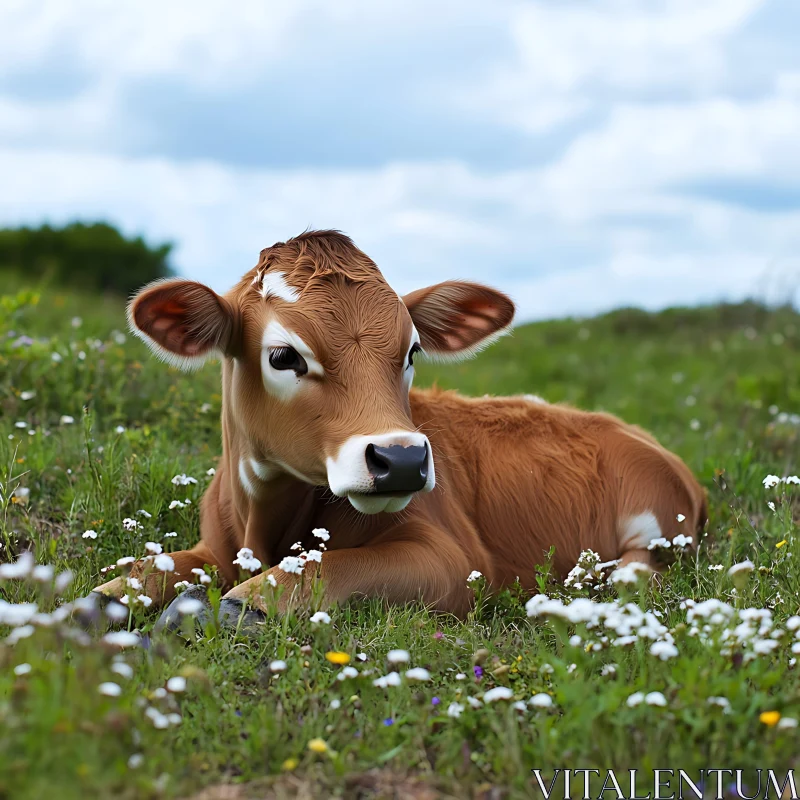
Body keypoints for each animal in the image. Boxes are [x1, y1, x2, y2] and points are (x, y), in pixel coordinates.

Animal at [94, 228, 708, 620]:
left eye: (412, 351)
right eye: (282, 356)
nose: (404, 459)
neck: (263, 526)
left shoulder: (454, 559)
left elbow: (315, 572)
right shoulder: (213, 549)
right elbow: (132, 578)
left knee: (640, 569)